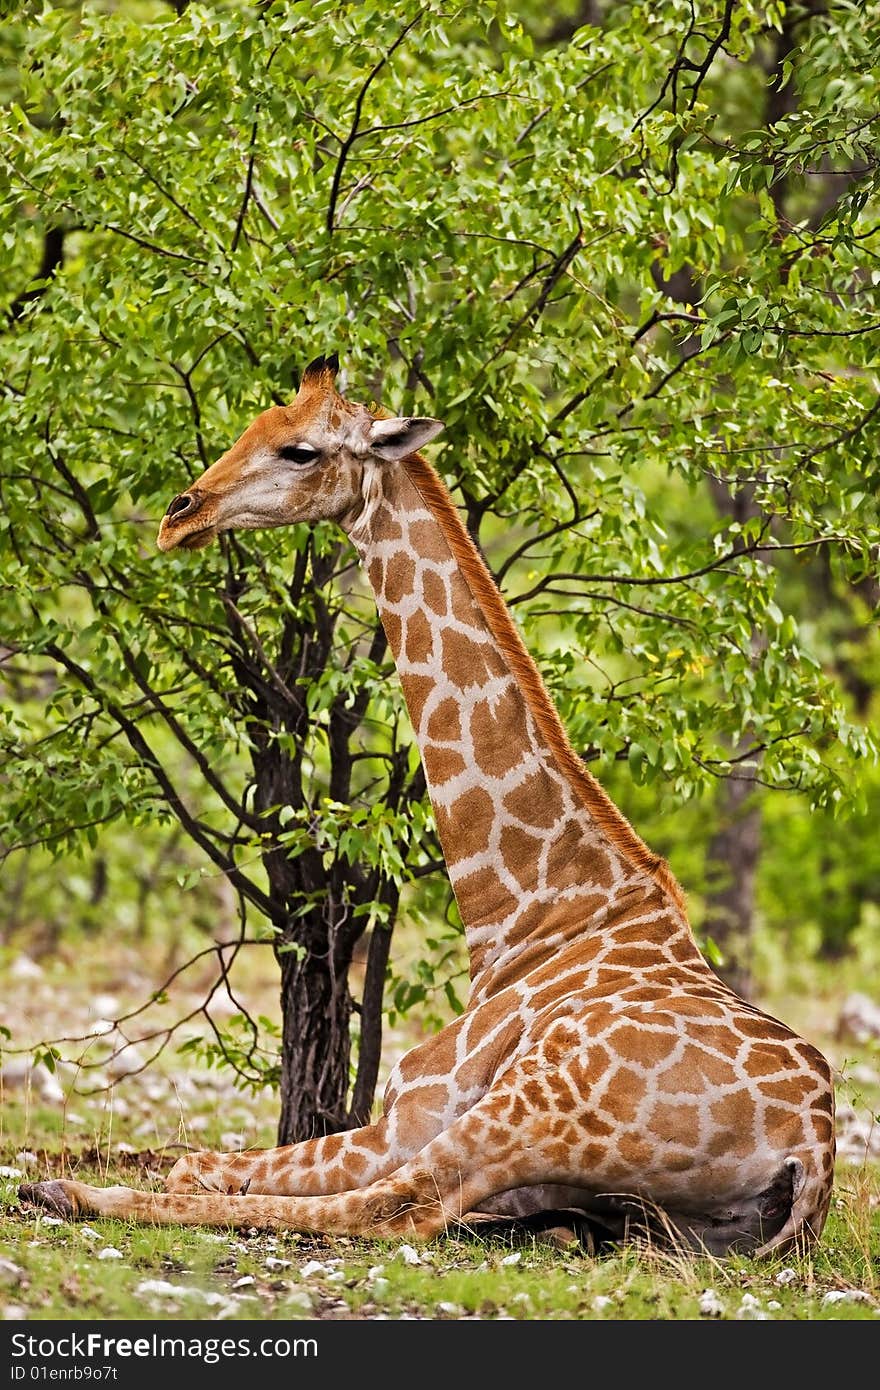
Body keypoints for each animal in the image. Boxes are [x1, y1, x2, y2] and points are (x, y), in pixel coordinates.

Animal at [17, 353, 834, 1256]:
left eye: (300, 450)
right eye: (257, 422)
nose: (179, 516)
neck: (530, 912)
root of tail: (810, 1154)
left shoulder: (407, 1115)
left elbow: (202, 1166)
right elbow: (205, 1163)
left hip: (541, 1106)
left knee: (388, 1209)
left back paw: (64, 1189)